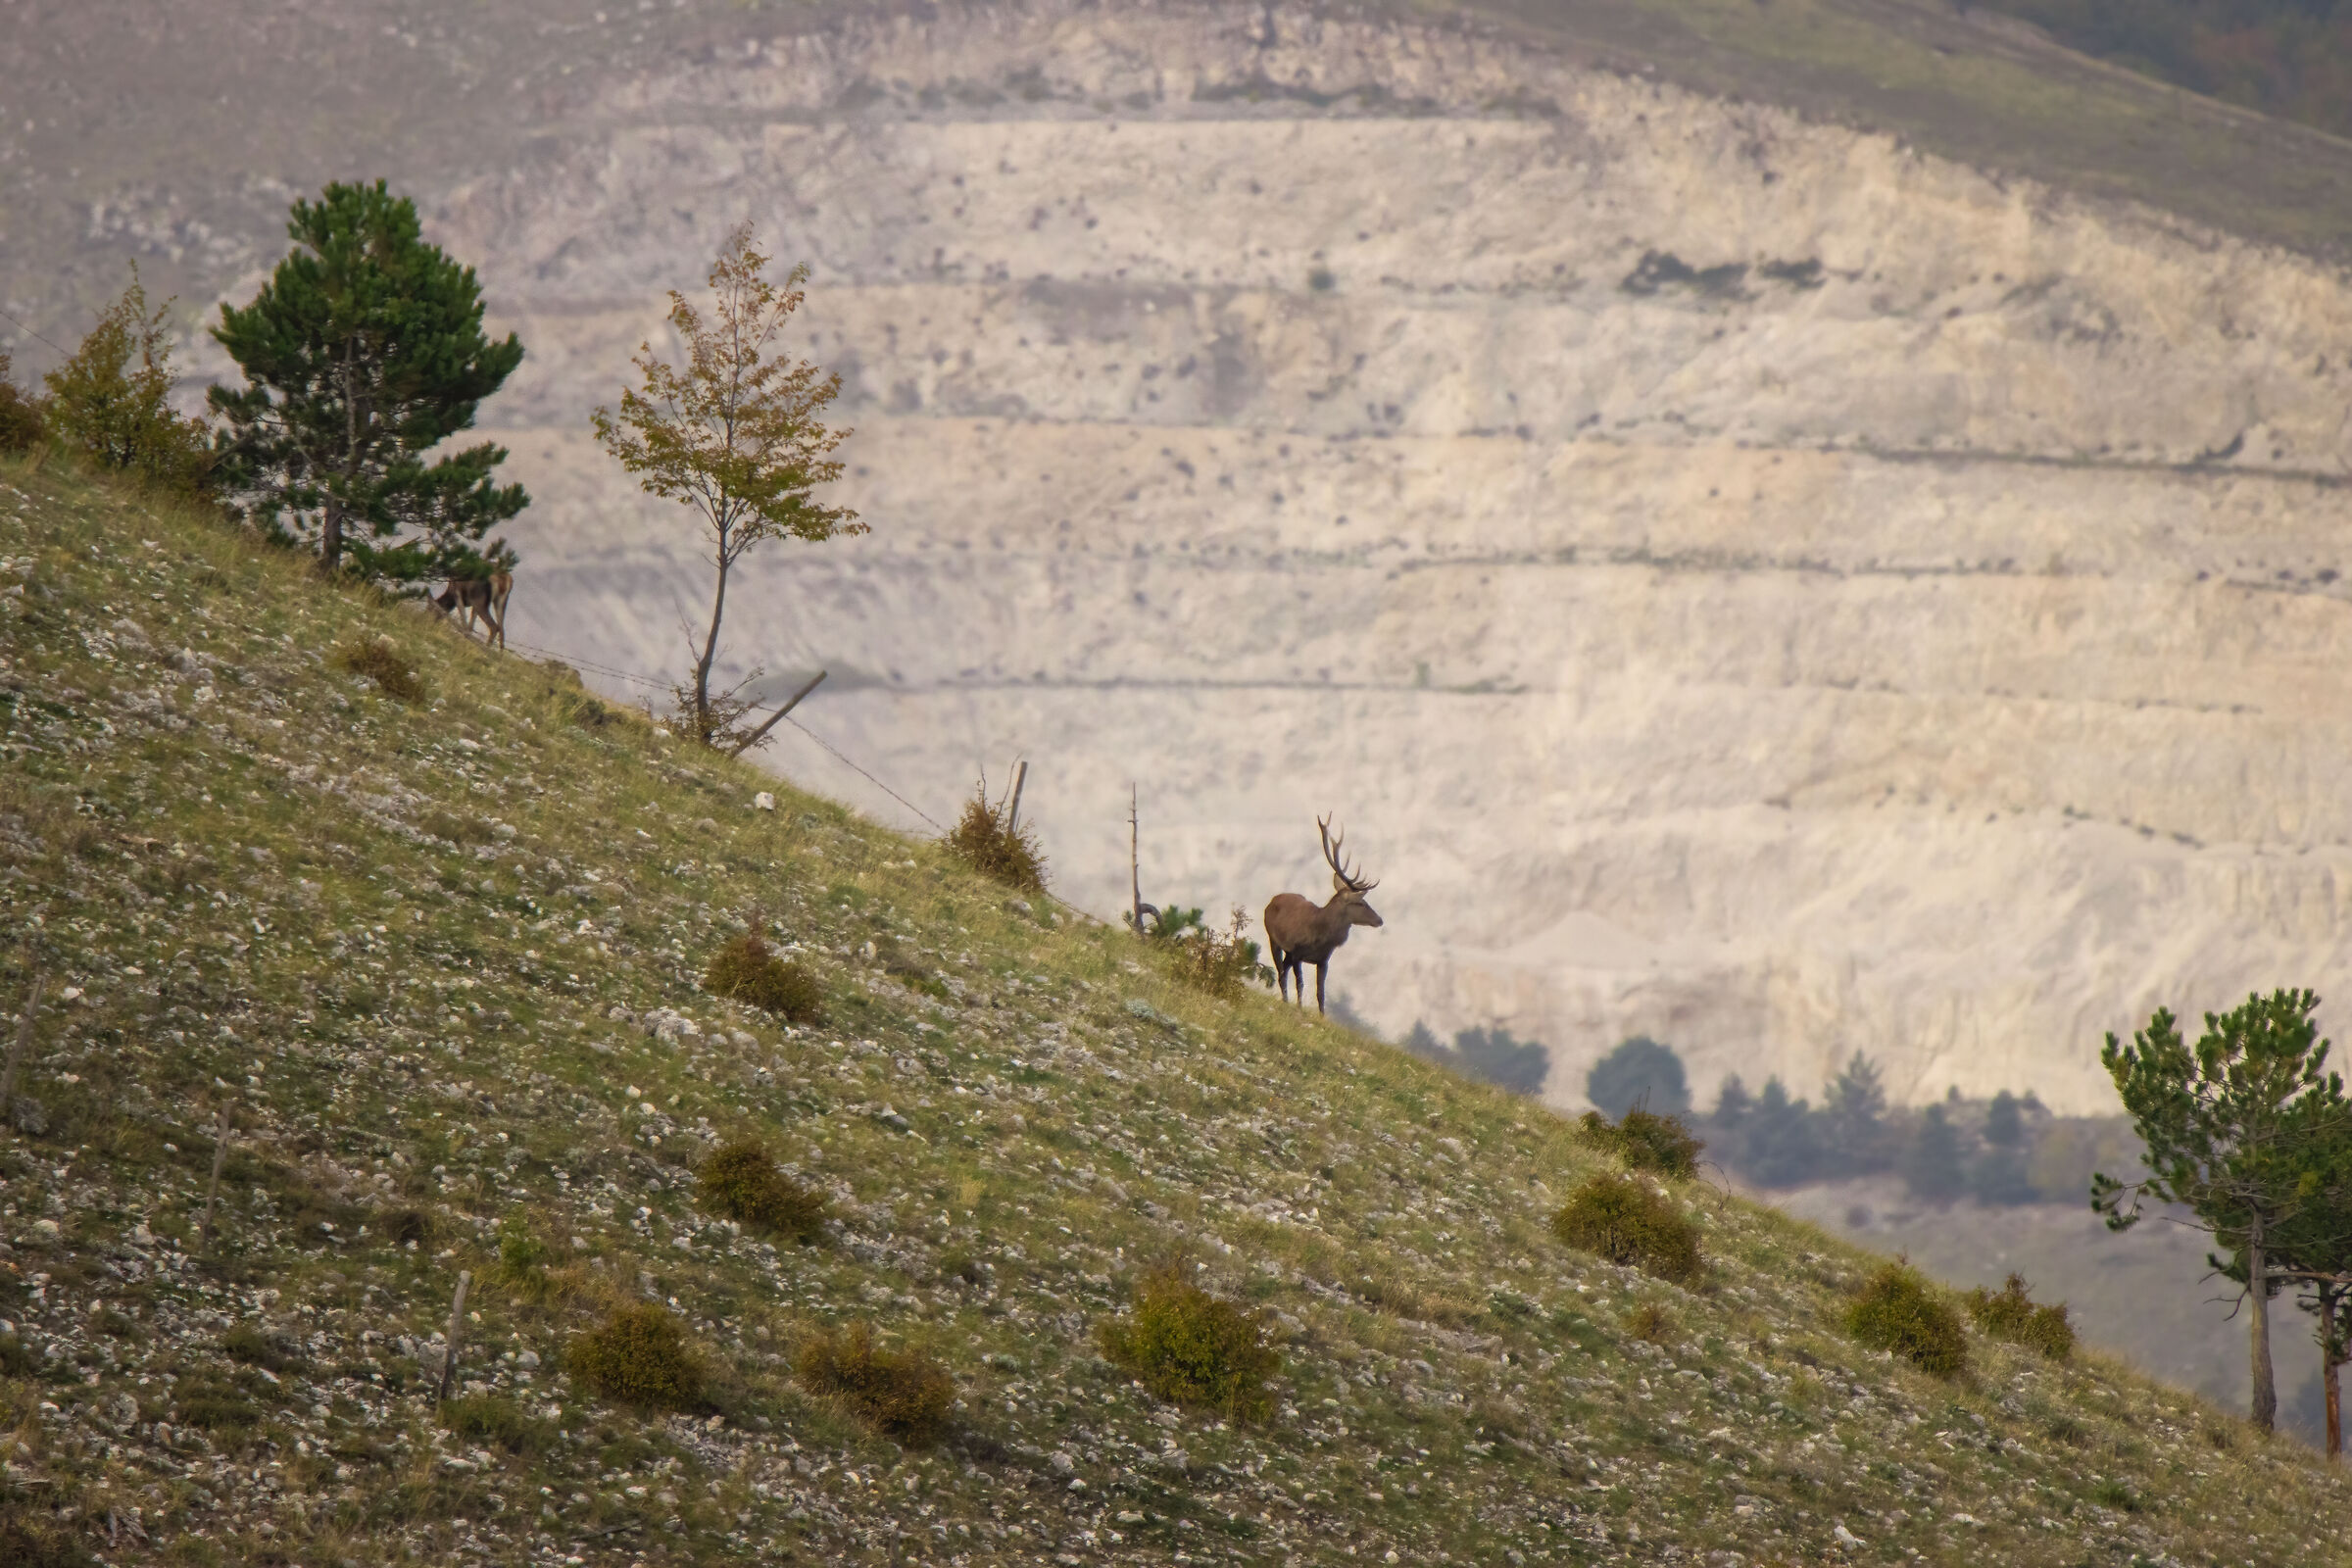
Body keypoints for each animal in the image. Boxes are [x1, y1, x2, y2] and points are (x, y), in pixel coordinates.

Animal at [1263, 813, 1383, 1015]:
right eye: (1360, 903)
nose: (1380, 920)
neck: (1320, 938)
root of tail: (1273, 900)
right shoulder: (1297, 952)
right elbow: (1300, 983)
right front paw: (1299, 1007)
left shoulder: (1323, 961)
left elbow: (1321, 992)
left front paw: (1322, 1016)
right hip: (1274, 939)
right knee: (1280, 972)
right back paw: (1285, 1000)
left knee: (1283, 972)